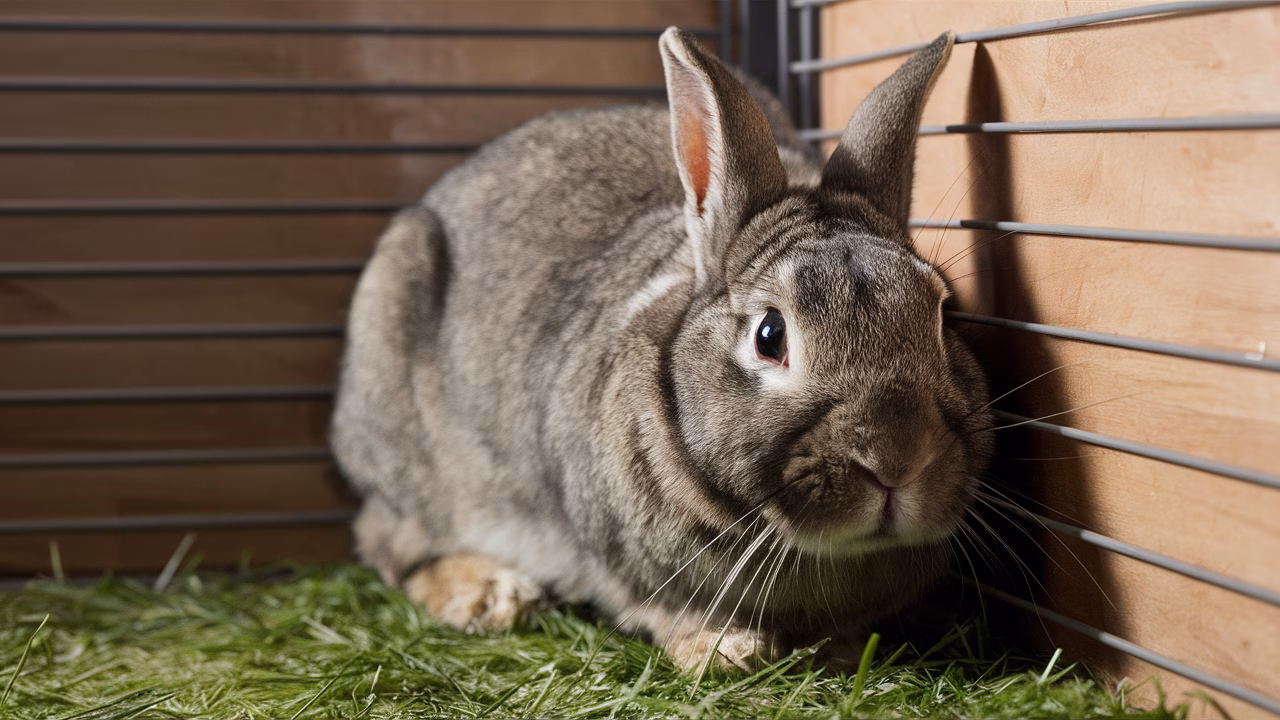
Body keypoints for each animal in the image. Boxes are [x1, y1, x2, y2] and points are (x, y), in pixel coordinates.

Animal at [330, 28, 993, 671]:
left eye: (940, 314)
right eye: (770, 336)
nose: (896, 459)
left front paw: (838, 651)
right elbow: (656, 608)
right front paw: (725, 653)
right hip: (409, 458)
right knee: (389, 544)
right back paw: (491, 596)